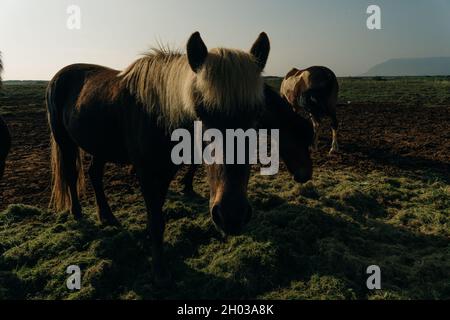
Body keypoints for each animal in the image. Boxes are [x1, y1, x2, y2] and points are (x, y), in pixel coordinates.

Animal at [46, 32, 312, 282]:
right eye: (200, 113)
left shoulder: (166, 171)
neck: (157, 115)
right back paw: (77, 213)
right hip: (64, 141)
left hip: (101, 146)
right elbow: (155, 219)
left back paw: (107, 216)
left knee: (94, 174)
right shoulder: (145, 172)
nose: (232, 216)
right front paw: (160, 271)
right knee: (71, 174)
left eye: (257, 114)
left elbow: (158, 214)